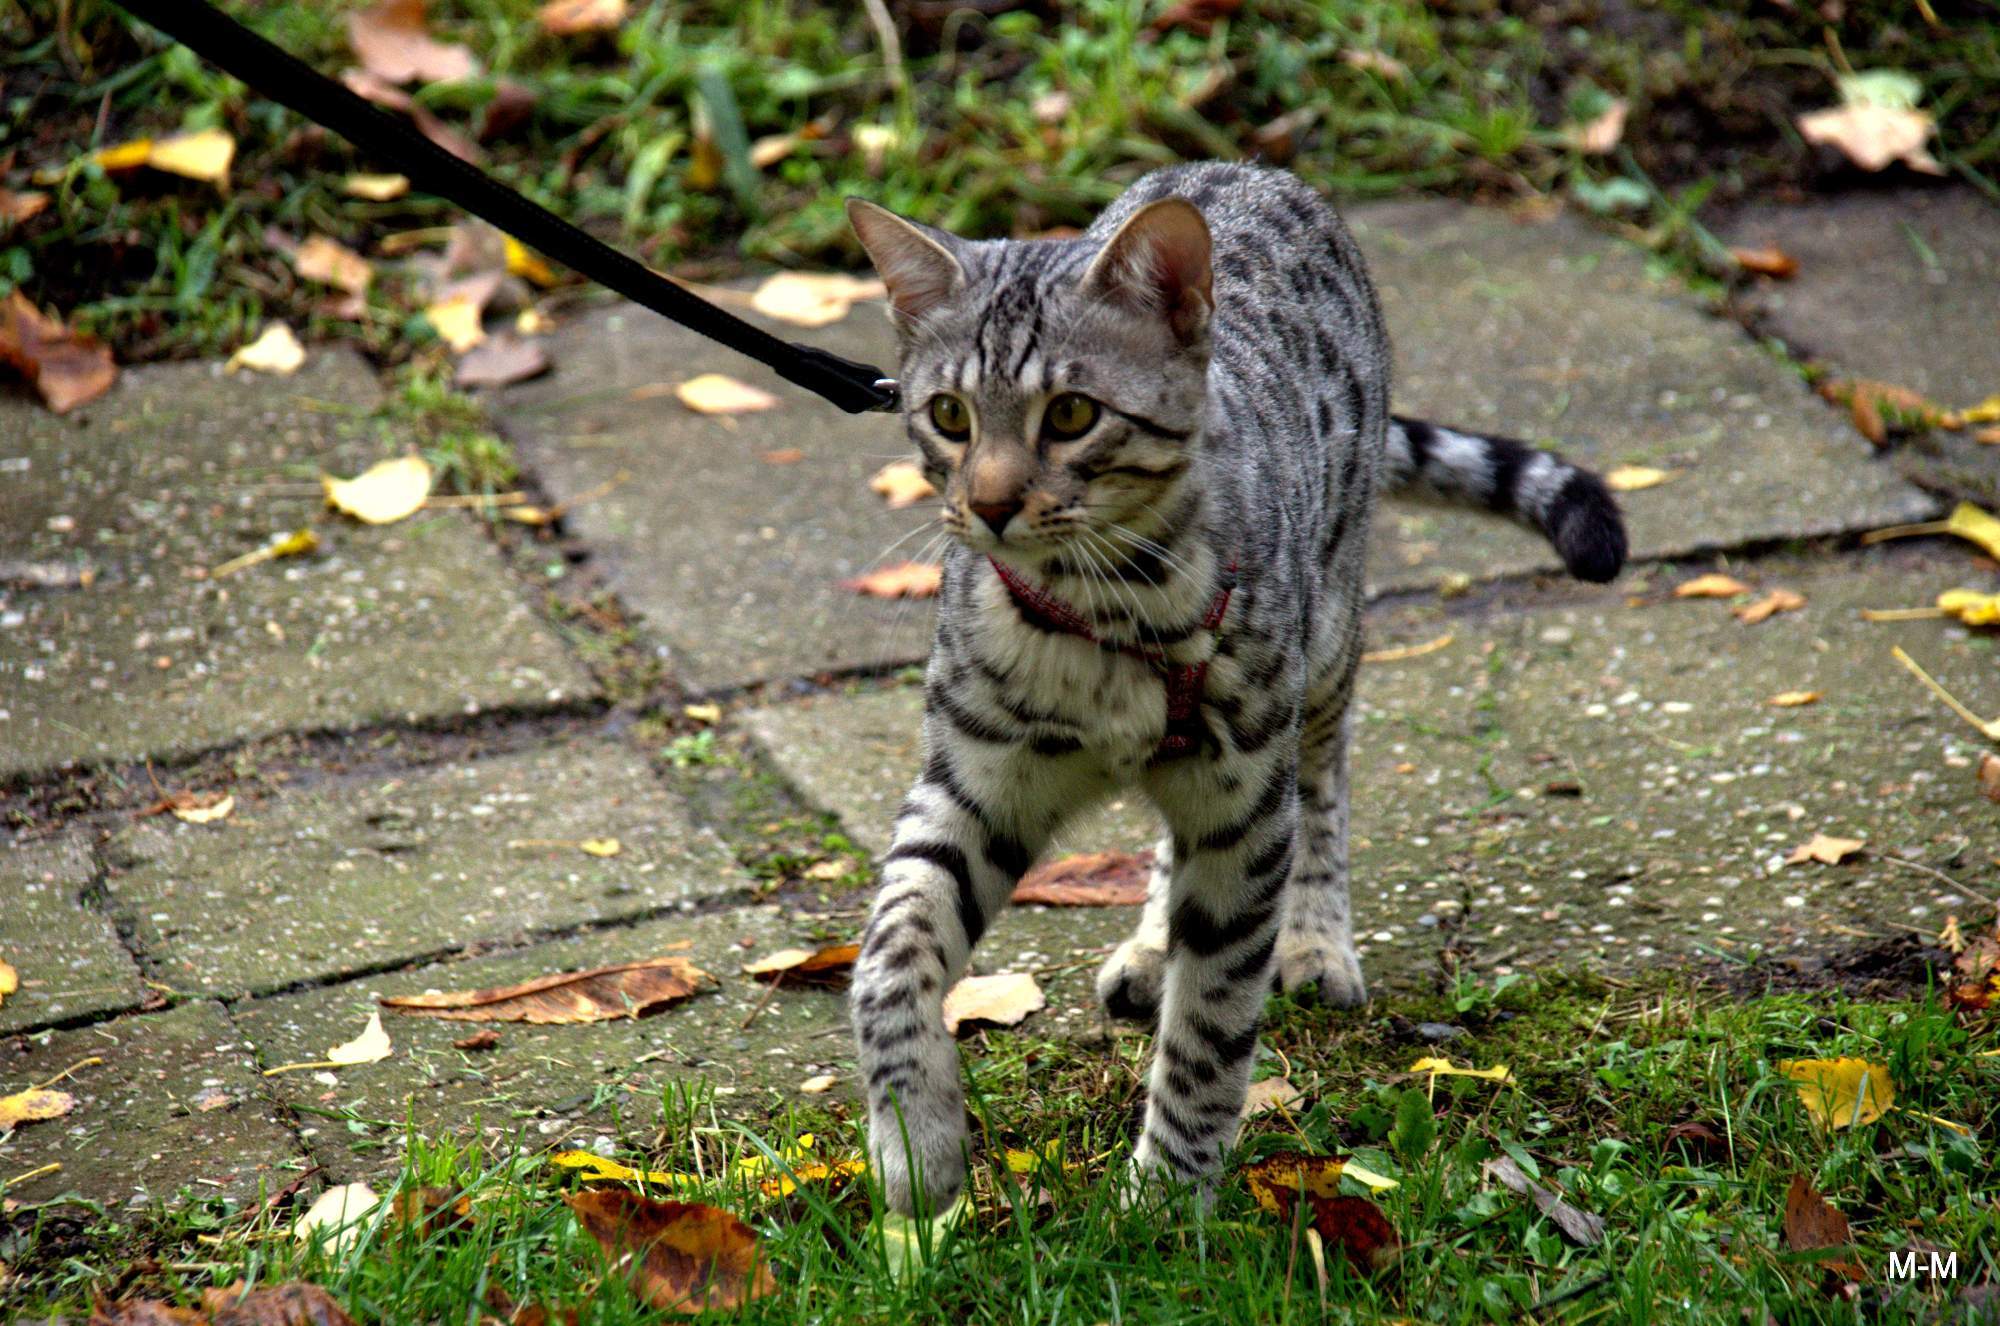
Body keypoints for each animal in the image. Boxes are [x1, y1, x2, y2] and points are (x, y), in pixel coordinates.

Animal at [844, 163, 1624, 1216]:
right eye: (950, 416)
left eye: (1073, 414)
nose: (993, 504)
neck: (1096, 612)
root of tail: (1248, 170)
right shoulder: (972, 781)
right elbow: (890, 952)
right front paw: (914, 1140)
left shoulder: (1246, 800)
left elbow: (1212, 1023)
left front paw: (1165, 1200)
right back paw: (1149, 946)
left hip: (1324, 639)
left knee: (1324, 780)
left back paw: (1314, 941)